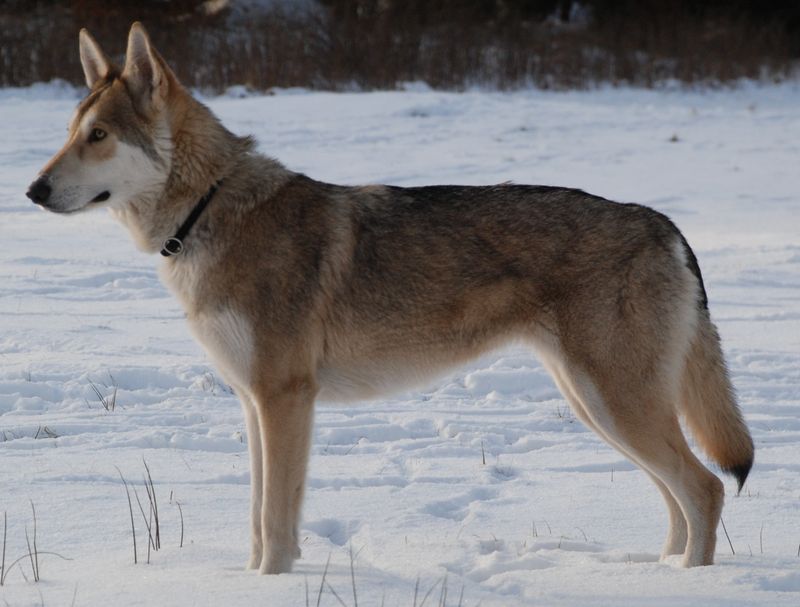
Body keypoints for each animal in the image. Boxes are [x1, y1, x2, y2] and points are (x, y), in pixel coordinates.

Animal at [27, 23, 753, 573]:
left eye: (98, 136)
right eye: (68, 131)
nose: (32, 191)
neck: (209, 210)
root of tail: (664, 224)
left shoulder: (285, 398)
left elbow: (277, 524)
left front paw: (271, 584)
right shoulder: (254, 402)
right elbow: (259, 520)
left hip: (613, 403)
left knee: (708, 488)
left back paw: (687, 582)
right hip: (597, 405)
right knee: (678, 497)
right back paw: (660, 569)